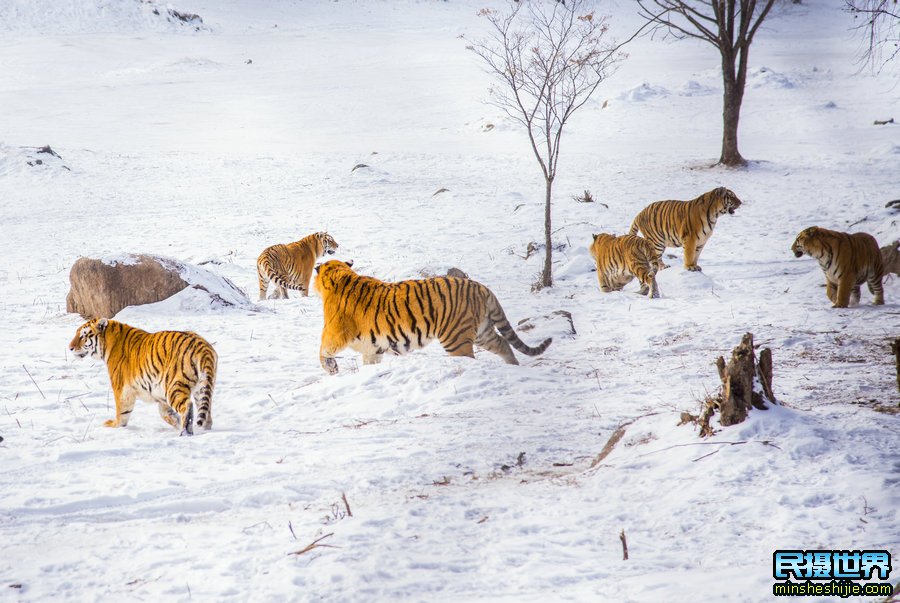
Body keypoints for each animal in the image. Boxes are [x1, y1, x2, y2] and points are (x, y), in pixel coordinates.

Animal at [68, 318, 218, 436]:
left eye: (82, 336)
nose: (70, 348)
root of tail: (203, 347)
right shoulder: (160, 393)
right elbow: (165, 413)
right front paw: (175, 422)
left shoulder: (122, 388)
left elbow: (122, 411)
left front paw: (114, 424)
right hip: (201, 387)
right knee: (205, 409)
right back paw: (204, 428)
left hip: (174, 386)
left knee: (187, 406)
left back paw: (185, 433)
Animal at [312, 258, 552, 372]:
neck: (340, 275)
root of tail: (481, 287)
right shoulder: (372, 347)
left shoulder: (335, 332)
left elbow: (322, 349)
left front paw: (330, 368)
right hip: (482, 331)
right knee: (503, 343)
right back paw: (513, 366)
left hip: (456, 338)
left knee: (470, 356)